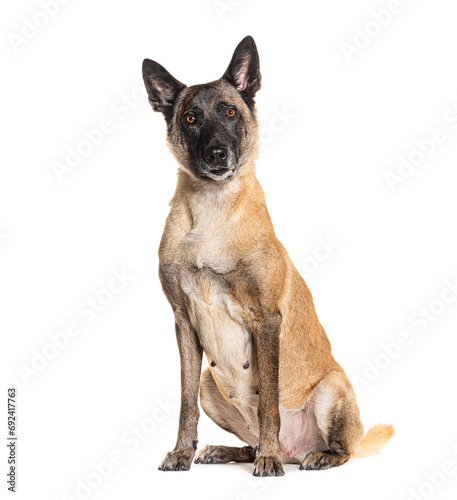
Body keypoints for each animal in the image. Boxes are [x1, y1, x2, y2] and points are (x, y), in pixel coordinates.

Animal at [142, 36, 392, 476]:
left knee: (339, 448)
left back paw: (308, 455)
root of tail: (298, 448)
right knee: (249, 437)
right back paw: (230, 451)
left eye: (229, 112)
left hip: (332, 387)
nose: (217, 154)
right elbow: (185, 404)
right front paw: (181, 452)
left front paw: (270, 460)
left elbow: (270, 405)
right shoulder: (183, 323)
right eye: (190, 118)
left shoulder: (266, 321)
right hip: (209, 383)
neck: (212, 211)